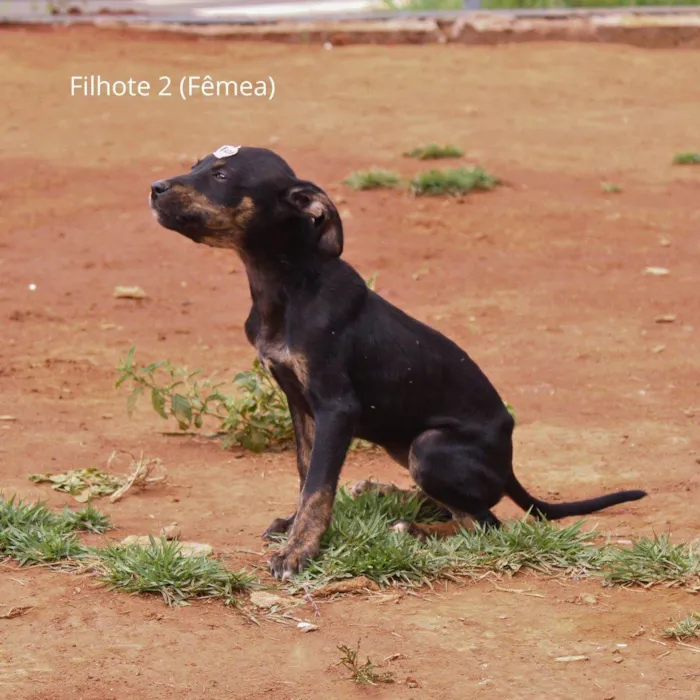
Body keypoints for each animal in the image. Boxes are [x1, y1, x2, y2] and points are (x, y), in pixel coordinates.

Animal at [150, 144, 648, 580]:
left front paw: (300, 550)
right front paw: (294, 529)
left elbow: (318, 487)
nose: (154, 187)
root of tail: (507, 467)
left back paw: (413, 527)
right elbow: (305, 473)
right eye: (196, 165)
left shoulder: (337, 407)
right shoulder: (299, 403)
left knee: (485, 523)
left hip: (428, 447)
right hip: (403, 446)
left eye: (221, 176)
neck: (289, 283)